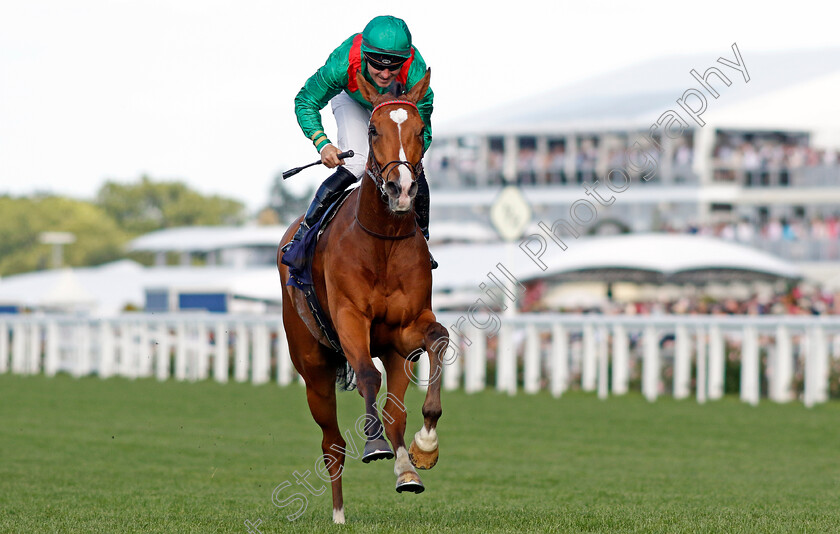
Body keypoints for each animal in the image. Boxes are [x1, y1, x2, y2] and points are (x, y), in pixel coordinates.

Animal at [274, 69, 446, 524]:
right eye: (372, 130)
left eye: (420, 130)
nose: (401, 188)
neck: (382, 240)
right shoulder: (350, 318)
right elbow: (368, 375)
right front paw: (373, 444)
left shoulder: (405, 329)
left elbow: (438, 340)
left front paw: (425, 447)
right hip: (313, 367)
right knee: (331, 444)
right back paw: (338, 514)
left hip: (395, 353)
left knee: (395, 412)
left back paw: (407, 470)